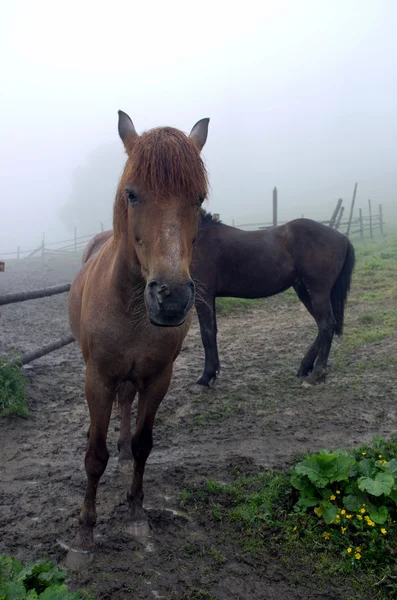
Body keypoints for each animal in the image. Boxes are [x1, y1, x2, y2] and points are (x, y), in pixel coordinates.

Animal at [67, 110, 210, 552]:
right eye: (132, 194)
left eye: (199, 199)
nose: (172, 297)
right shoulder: (97, 379)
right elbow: (94, 456)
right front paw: (85, 531)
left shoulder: (158, 378)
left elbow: (145, 444)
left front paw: (135, 511)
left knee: (127, 405)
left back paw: (125, 450)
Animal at [191, 213, 352, 386]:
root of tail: (342, 237)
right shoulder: (209, 297)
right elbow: (212, 331)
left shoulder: (203, 295)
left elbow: (206, 334)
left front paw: (205, 377)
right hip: (304, 290)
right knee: (324, 325)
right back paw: (305, 367)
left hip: (317, 291)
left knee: (326, 325)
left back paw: (316, 374)